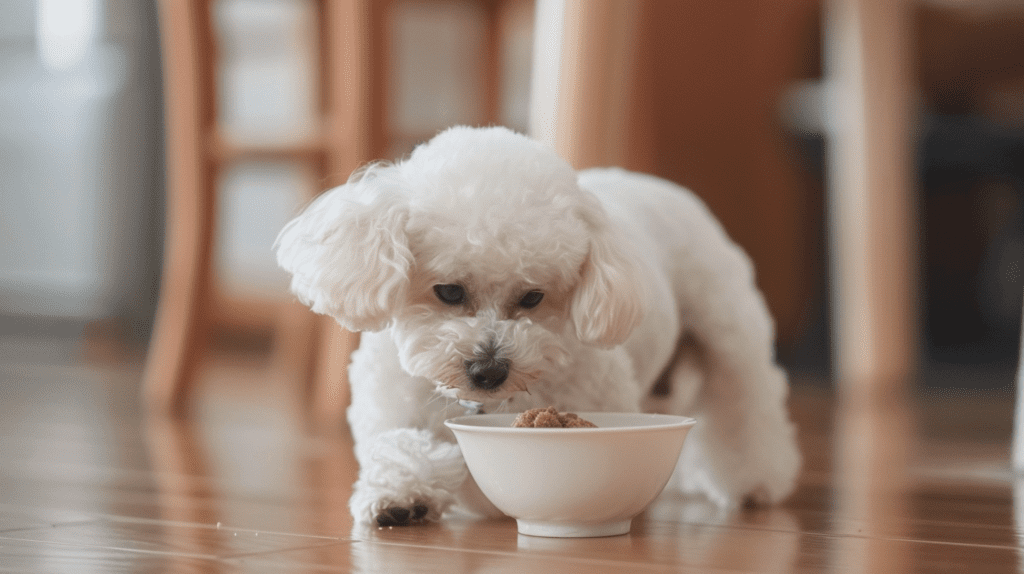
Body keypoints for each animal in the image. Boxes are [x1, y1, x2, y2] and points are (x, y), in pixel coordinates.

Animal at [276, 125, 802, 523]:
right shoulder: (389, 405)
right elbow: (400, 444)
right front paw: (402, 496)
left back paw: (754, 479)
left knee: (744, 403)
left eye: (532, 297)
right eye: (448, 291)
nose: (488, 370)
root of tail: (664, 186)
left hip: (728, 331)